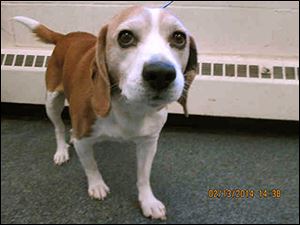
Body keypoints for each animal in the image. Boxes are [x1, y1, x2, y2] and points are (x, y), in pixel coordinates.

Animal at [14, 5, 198, 220]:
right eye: (125, 36)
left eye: (179, 38)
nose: (161, 73)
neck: (129, 106)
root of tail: (66, 36)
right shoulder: (84, 140)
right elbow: (91, 165)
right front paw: (97, 185)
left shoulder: (149, 143)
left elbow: (143, 176)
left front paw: (148, 201)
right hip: (52, 101)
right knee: (58, 127)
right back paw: (61, 151)